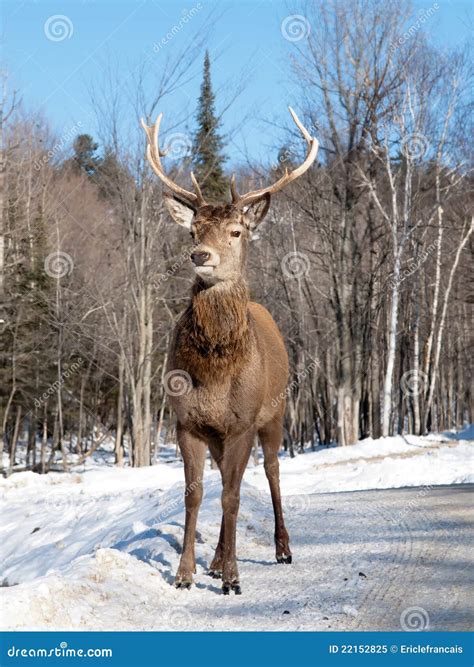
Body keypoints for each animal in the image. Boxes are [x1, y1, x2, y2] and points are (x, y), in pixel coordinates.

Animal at [140, 108, 318, 596]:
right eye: (194, 229)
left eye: (236, 231)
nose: (200, 255)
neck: (217, 372)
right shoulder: (188, 423)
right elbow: (197, 494)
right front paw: (185, 574)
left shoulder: (241, 423)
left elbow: (235, 496)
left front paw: (235, 579)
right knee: (226, 479)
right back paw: (218, 560)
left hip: (275, 413)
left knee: (272, 471)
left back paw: (281, 549)